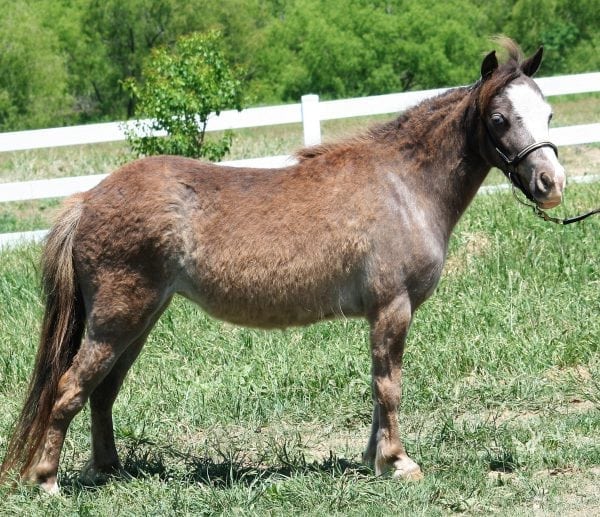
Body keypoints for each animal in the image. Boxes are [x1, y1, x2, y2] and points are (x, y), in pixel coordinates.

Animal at [0, 40, 564, 492]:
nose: (551, 184)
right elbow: (389, 385)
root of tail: (87, 199)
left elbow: (377, 385)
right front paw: (399, 462)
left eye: (549, 114)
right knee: (70, 389)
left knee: (102, 393)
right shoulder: (393, 308)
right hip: (116, 320)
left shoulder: (382, 315)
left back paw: (108, 469)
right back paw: (48, 481)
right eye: (499, 119)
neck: (402, 186)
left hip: (137, 321)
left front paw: (373, 459)